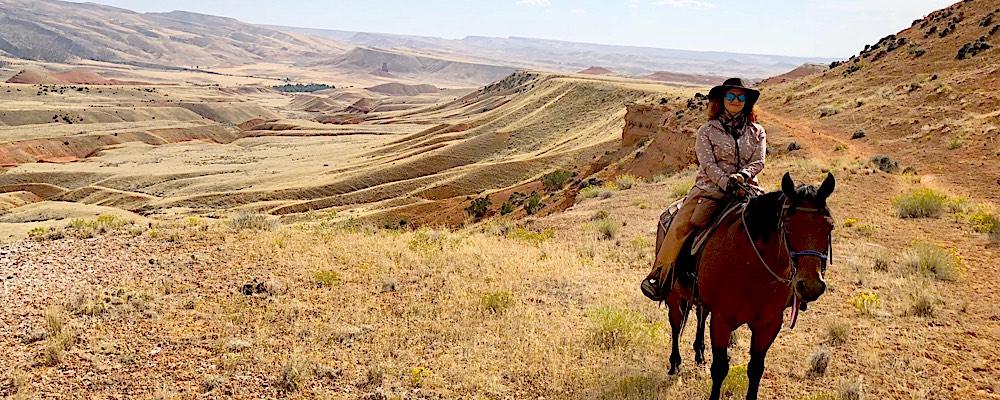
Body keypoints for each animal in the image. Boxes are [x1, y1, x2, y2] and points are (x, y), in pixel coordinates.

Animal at [660, 172, 832, 400]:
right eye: (787, 226)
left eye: (829, 227)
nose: (810, 286)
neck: (752, 267)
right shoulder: (722, 319)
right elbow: (720, 368)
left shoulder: (769, 324)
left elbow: (756, 369)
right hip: (673, 294)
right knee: (676, 322)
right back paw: (674, 363)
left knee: (700, 314)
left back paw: (699, 353)